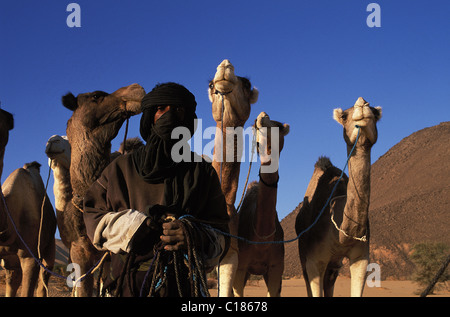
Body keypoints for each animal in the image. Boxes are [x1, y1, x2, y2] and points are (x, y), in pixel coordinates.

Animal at [296, 97, 384, 296]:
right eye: (344, 116)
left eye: (375, 113)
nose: (362, 104)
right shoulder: (314, 260)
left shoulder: (360, 257)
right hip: (304, 255)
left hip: (333, 264)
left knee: (329, 281)